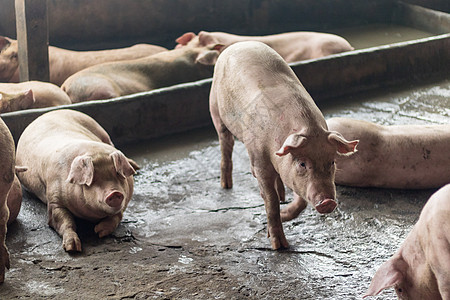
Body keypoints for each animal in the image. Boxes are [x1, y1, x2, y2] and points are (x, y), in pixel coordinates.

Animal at [15, 109, 139, 252]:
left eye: (118, 175)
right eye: (93, 180)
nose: (114, 193)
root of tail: (52, 111)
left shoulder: (125, 201)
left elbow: (118, 216)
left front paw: (99, 231)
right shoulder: (54, 200)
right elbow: (64, 221)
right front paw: (72, 248)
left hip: (102, 132)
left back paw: (136, 167)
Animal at [210, 41, 358, 250]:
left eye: (332, 162)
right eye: (302, 163)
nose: (328, 201)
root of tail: (236, 44)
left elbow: (301, 201)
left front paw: (286, 213)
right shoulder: (259, 160)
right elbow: (270, 201)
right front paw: (279, 245)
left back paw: (282, 196)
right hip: (216, 109)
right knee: (226, 145)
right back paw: (226, 186)